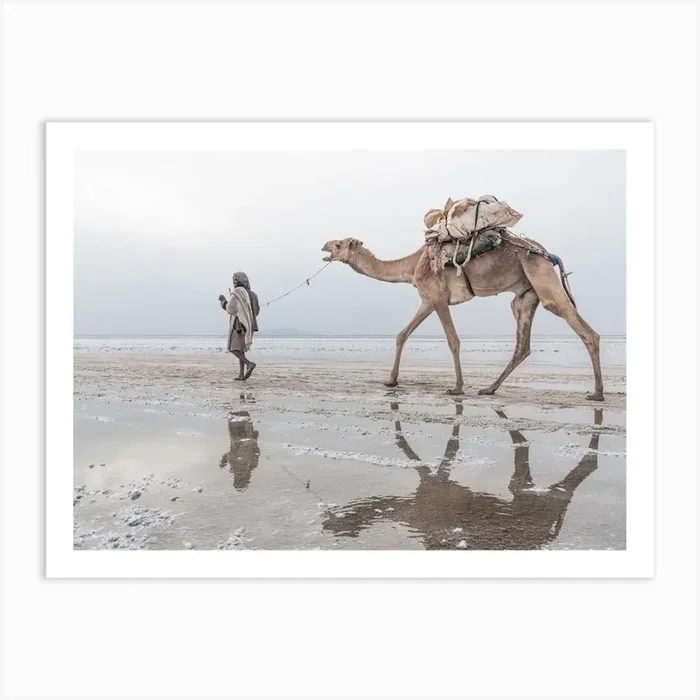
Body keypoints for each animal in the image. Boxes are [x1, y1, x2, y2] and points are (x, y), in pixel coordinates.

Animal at [321, 233, 603, 400]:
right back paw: (489, 388)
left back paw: (597, 393)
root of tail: (549, 254)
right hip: (526, 295)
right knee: (522, 345)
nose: (323, 245)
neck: (412, 265)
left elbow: (453, 340)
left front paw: (457, 387)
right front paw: (391, 381)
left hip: (542, 279)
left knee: (583, 329)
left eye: (339, 244)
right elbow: (402, 334)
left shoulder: (437, 297)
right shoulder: (427, 301)